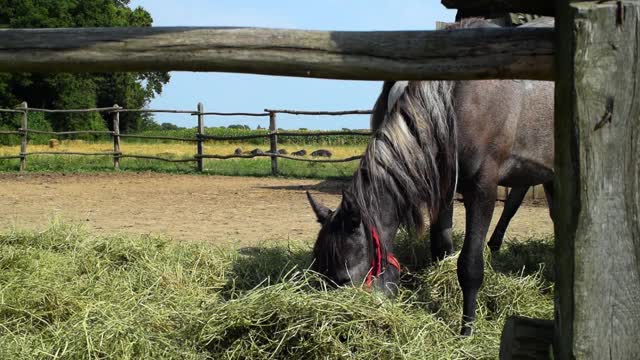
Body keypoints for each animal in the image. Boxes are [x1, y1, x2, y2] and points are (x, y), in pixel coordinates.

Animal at [306, 18, 556, 336]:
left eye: (345, 279)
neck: (455, 100)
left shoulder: (482, 191)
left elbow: (469, 265)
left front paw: (466, 329)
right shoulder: (443, 188)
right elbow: (441, 247)